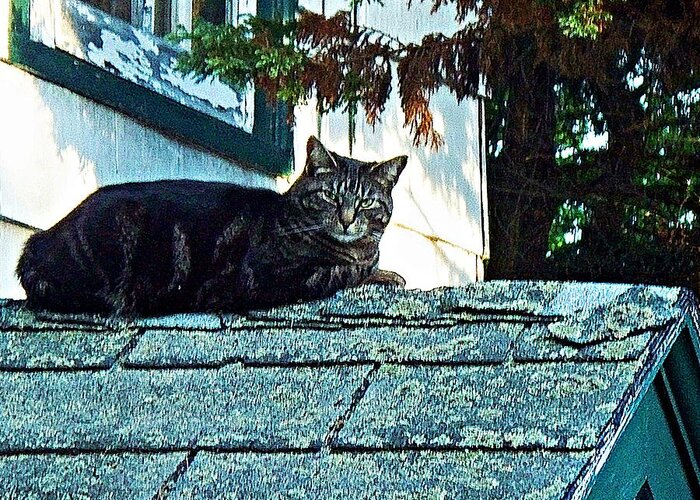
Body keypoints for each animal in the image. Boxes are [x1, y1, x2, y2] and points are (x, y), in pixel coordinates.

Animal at [16, 137, 408, 316]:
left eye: (367, 202)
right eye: (329, 195)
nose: (347, 218)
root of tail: (38, 241)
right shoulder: (265, 277)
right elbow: (341, 271)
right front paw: (382, 274)